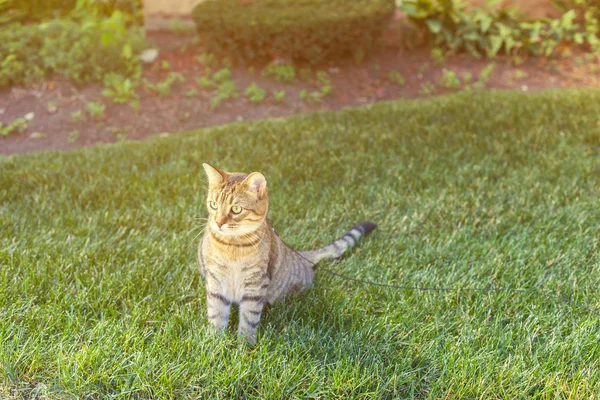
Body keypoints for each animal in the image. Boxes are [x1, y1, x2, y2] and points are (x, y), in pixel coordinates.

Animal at [197, 162, 376, 344]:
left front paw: (245, 344)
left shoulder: (255, 284)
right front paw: (215, 341)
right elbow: (216, 314)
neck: (232, 245)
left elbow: (249, 317)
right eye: (213, 205)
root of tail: (299, 255)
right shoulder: (215, 280)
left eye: (236, 209)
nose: (218, 223)